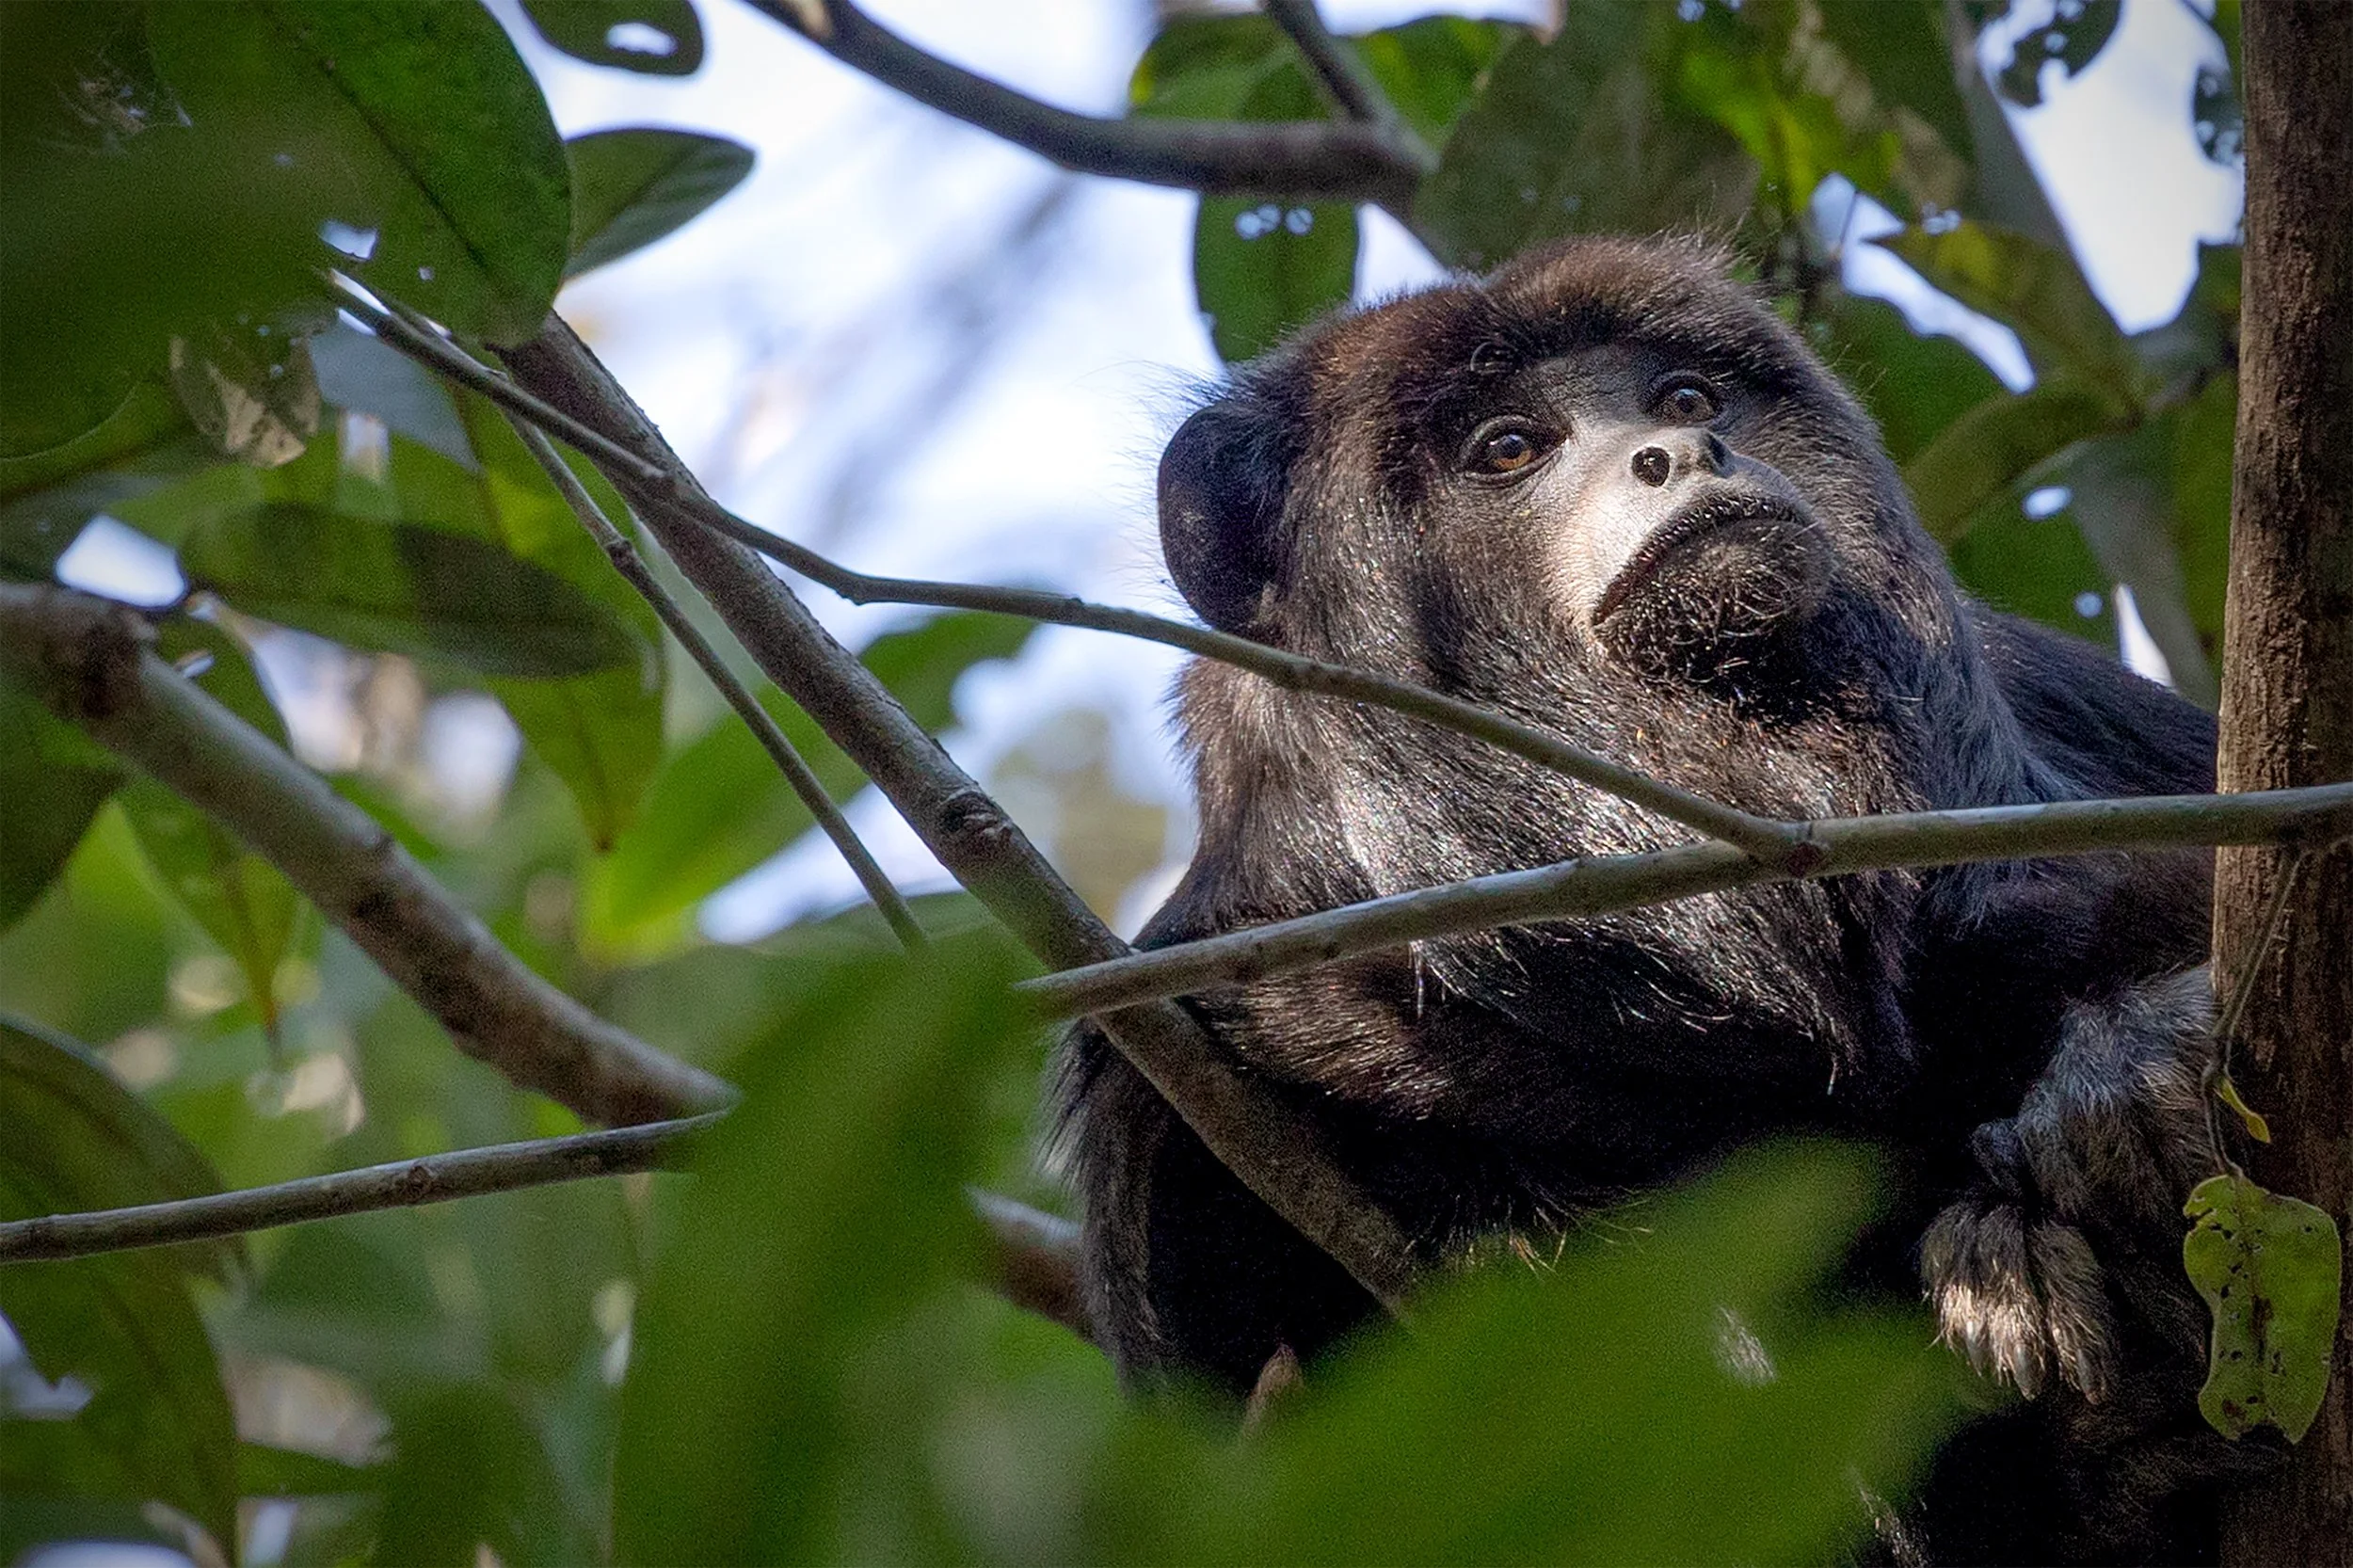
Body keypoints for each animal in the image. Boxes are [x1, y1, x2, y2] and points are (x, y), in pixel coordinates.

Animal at [1054, 235, 2267, 1562]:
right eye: (1507, 448)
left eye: (1685, 396)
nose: (1681, 453)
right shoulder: (1174, 1049)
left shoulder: (2041, 690)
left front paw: (2134, 1063)